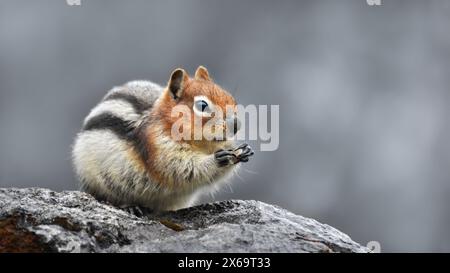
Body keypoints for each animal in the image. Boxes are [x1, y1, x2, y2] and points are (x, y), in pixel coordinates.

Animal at [71, 66, 253, 210]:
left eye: (231, 99)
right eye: (202, 105)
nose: (236, 124)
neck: (201, 145)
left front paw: (243, 151)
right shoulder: (158, 147)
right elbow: (180, 168)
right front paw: (217, 159)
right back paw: (130, 206)